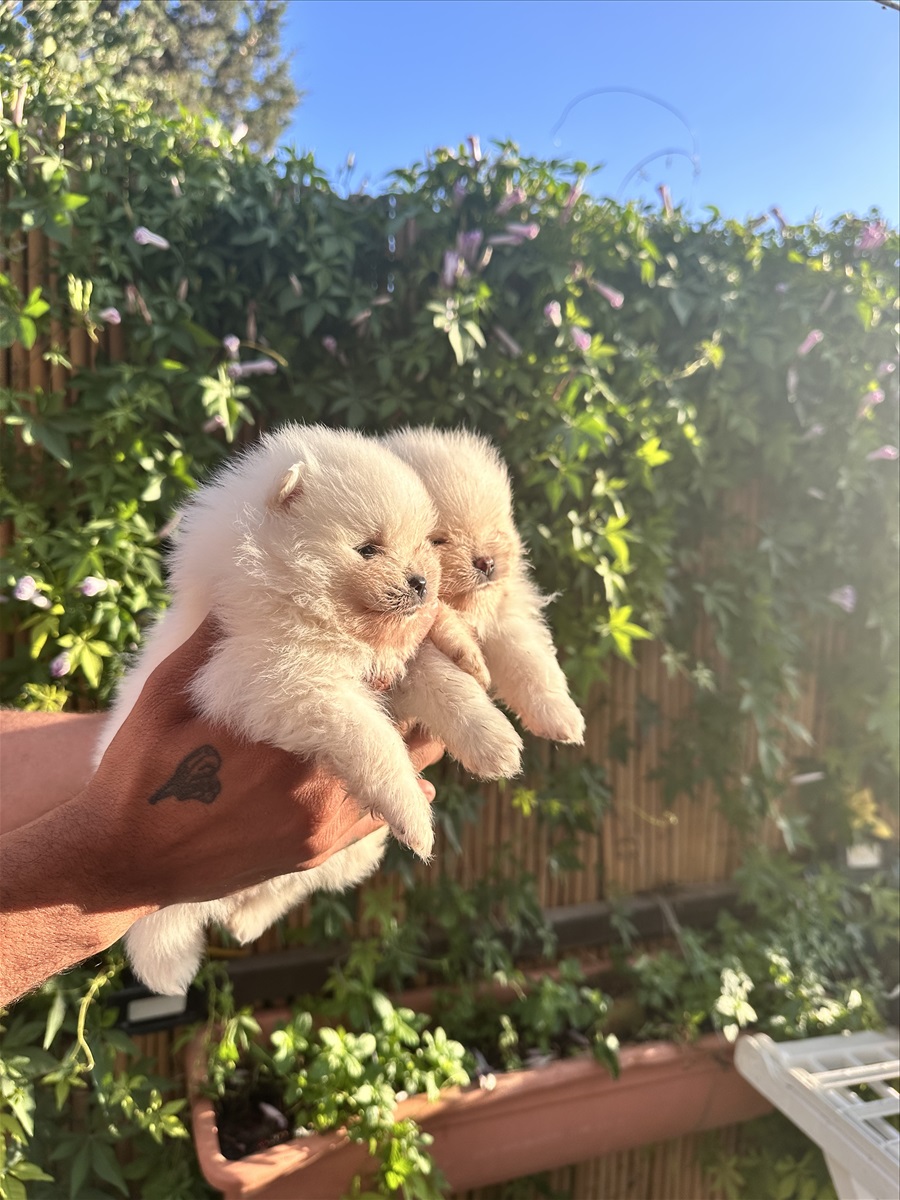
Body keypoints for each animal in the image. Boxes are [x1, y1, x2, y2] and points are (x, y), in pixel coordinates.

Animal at [96, 422, 520, 993]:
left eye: (423, 544)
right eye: (368, 548)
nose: (421, 583)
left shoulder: (390, 666)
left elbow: (447, 684)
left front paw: (495, 743)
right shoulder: (279, 680)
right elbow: (370, 734)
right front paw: (413, 812)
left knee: (287, 888)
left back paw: (246, 921)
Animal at [384, 429, 588, 748]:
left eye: (493, 528)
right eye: (438, 540)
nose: (487, 562)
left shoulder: (501, 618)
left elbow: (528, 661)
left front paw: (560, 716)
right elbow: (449, 687)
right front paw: (495, 745)